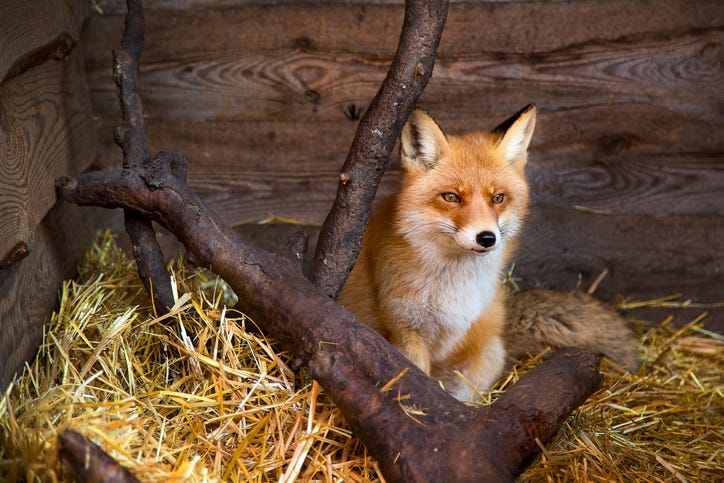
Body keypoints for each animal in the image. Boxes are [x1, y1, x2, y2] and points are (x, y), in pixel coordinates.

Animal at [338, 105, 639, 401]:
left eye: (498, 198)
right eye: (451, 197)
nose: (486, 238)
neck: (450, 287)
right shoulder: (404, 331)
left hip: (493, 350)